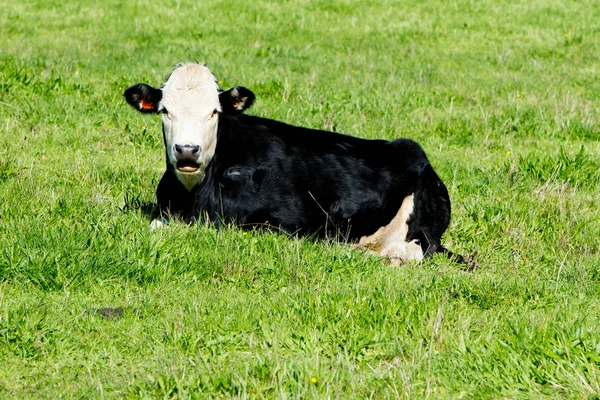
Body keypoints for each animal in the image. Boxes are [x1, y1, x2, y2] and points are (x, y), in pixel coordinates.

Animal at [124, 63, 472, 266]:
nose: (187, 150)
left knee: (421, 247)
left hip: (424, 223)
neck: (192, 196)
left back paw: (393, 255)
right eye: (165, 111)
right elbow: (156, 223)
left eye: (214, 112)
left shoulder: (276, 221)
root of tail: (411, 148)